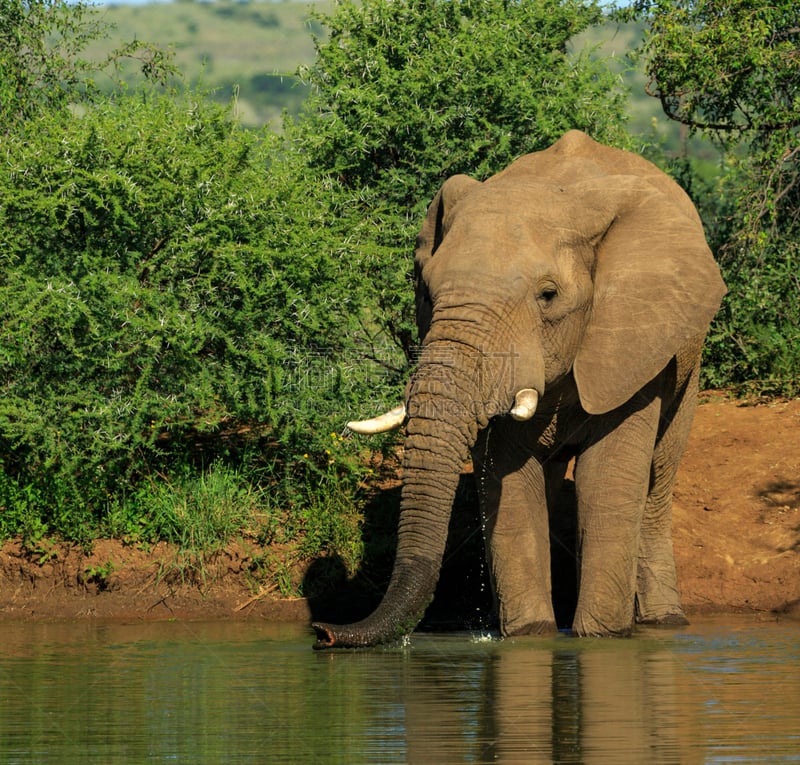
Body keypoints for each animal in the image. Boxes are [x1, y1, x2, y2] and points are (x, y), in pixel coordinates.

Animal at [310, 130, 724, 644]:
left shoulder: (629, 347)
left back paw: (664, 622)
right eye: (425, 292)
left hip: (685, 356)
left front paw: (602, 638)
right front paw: (531, 635)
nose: (324, 631)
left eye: (548, 296)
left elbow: (605, 482)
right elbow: (509, 483)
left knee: (657, 481)